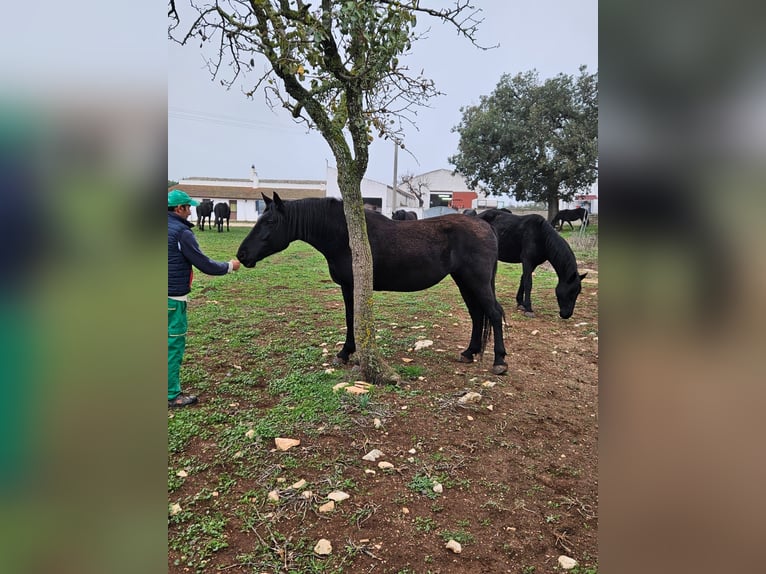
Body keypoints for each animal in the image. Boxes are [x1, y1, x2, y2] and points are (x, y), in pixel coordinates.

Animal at [237, 193, 508, 374]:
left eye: (270, 222)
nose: (241, 255)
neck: (344, 235)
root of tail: (486, 225)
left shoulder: (350, 286)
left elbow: (351, 318)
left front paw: (345, 353)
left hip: (477, 282)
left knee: (494, 313)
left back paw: (499, 362)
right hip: (464, 281)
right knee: (477, 315)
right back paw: (469, 352)